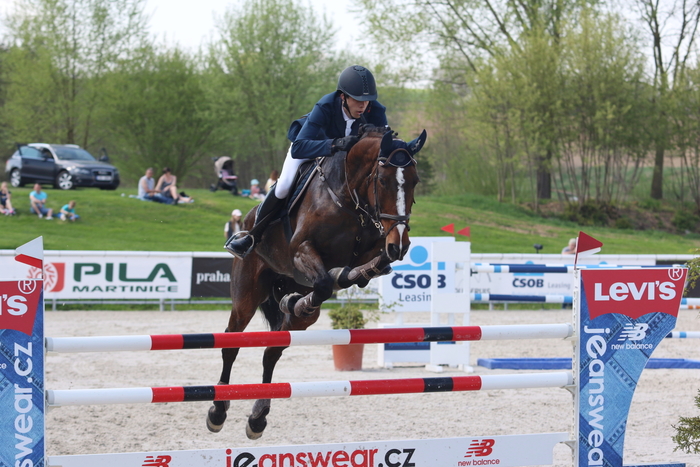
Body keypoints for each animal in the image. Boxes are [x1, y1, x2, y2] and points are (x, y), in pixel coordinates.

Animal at [206, 125, 426, 439]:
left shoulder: (375, 245)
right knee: (231, 344)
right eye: (383, 180)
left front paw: (346, 277)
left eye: (415, 181)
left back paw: (258, 416)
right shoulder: (301, 249)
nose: (402, 244)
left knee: (273, 350)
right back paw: (218, 410)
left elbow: (370, 265)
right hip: (246, 296)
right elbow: (323, 283)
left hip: (296, 303)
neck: (349, 199)